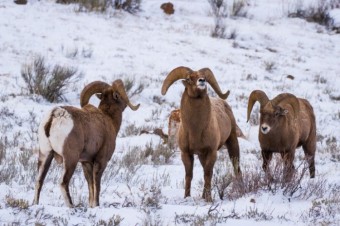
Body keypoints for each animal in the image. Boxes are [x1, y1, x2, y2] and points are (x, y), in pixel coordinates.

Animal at [33, 80, 139, 208]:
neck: (109, 119)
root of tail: (56, 115)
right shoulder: (100, 161)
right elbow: (97, 185)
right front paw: (96, 205)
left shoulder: (86, 162)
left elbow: (90, 185)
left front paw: (91, 206)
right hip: (70, 160)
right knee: (63, 183)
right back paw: (71, 206)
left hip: (45, 155)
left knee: (39, 181)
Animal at [161, 65, 240, 201]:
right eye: (189, 78)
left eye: (204, 77)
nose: (202, 81)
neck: (196, 130)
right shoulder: (187, 154)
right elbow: (189, 175)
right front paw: (187, 197)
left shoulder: (211, 152)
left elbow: (207, 175)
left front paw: (209, 199)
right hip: (202, 156)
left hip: (232, 142)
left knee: (236, 167)